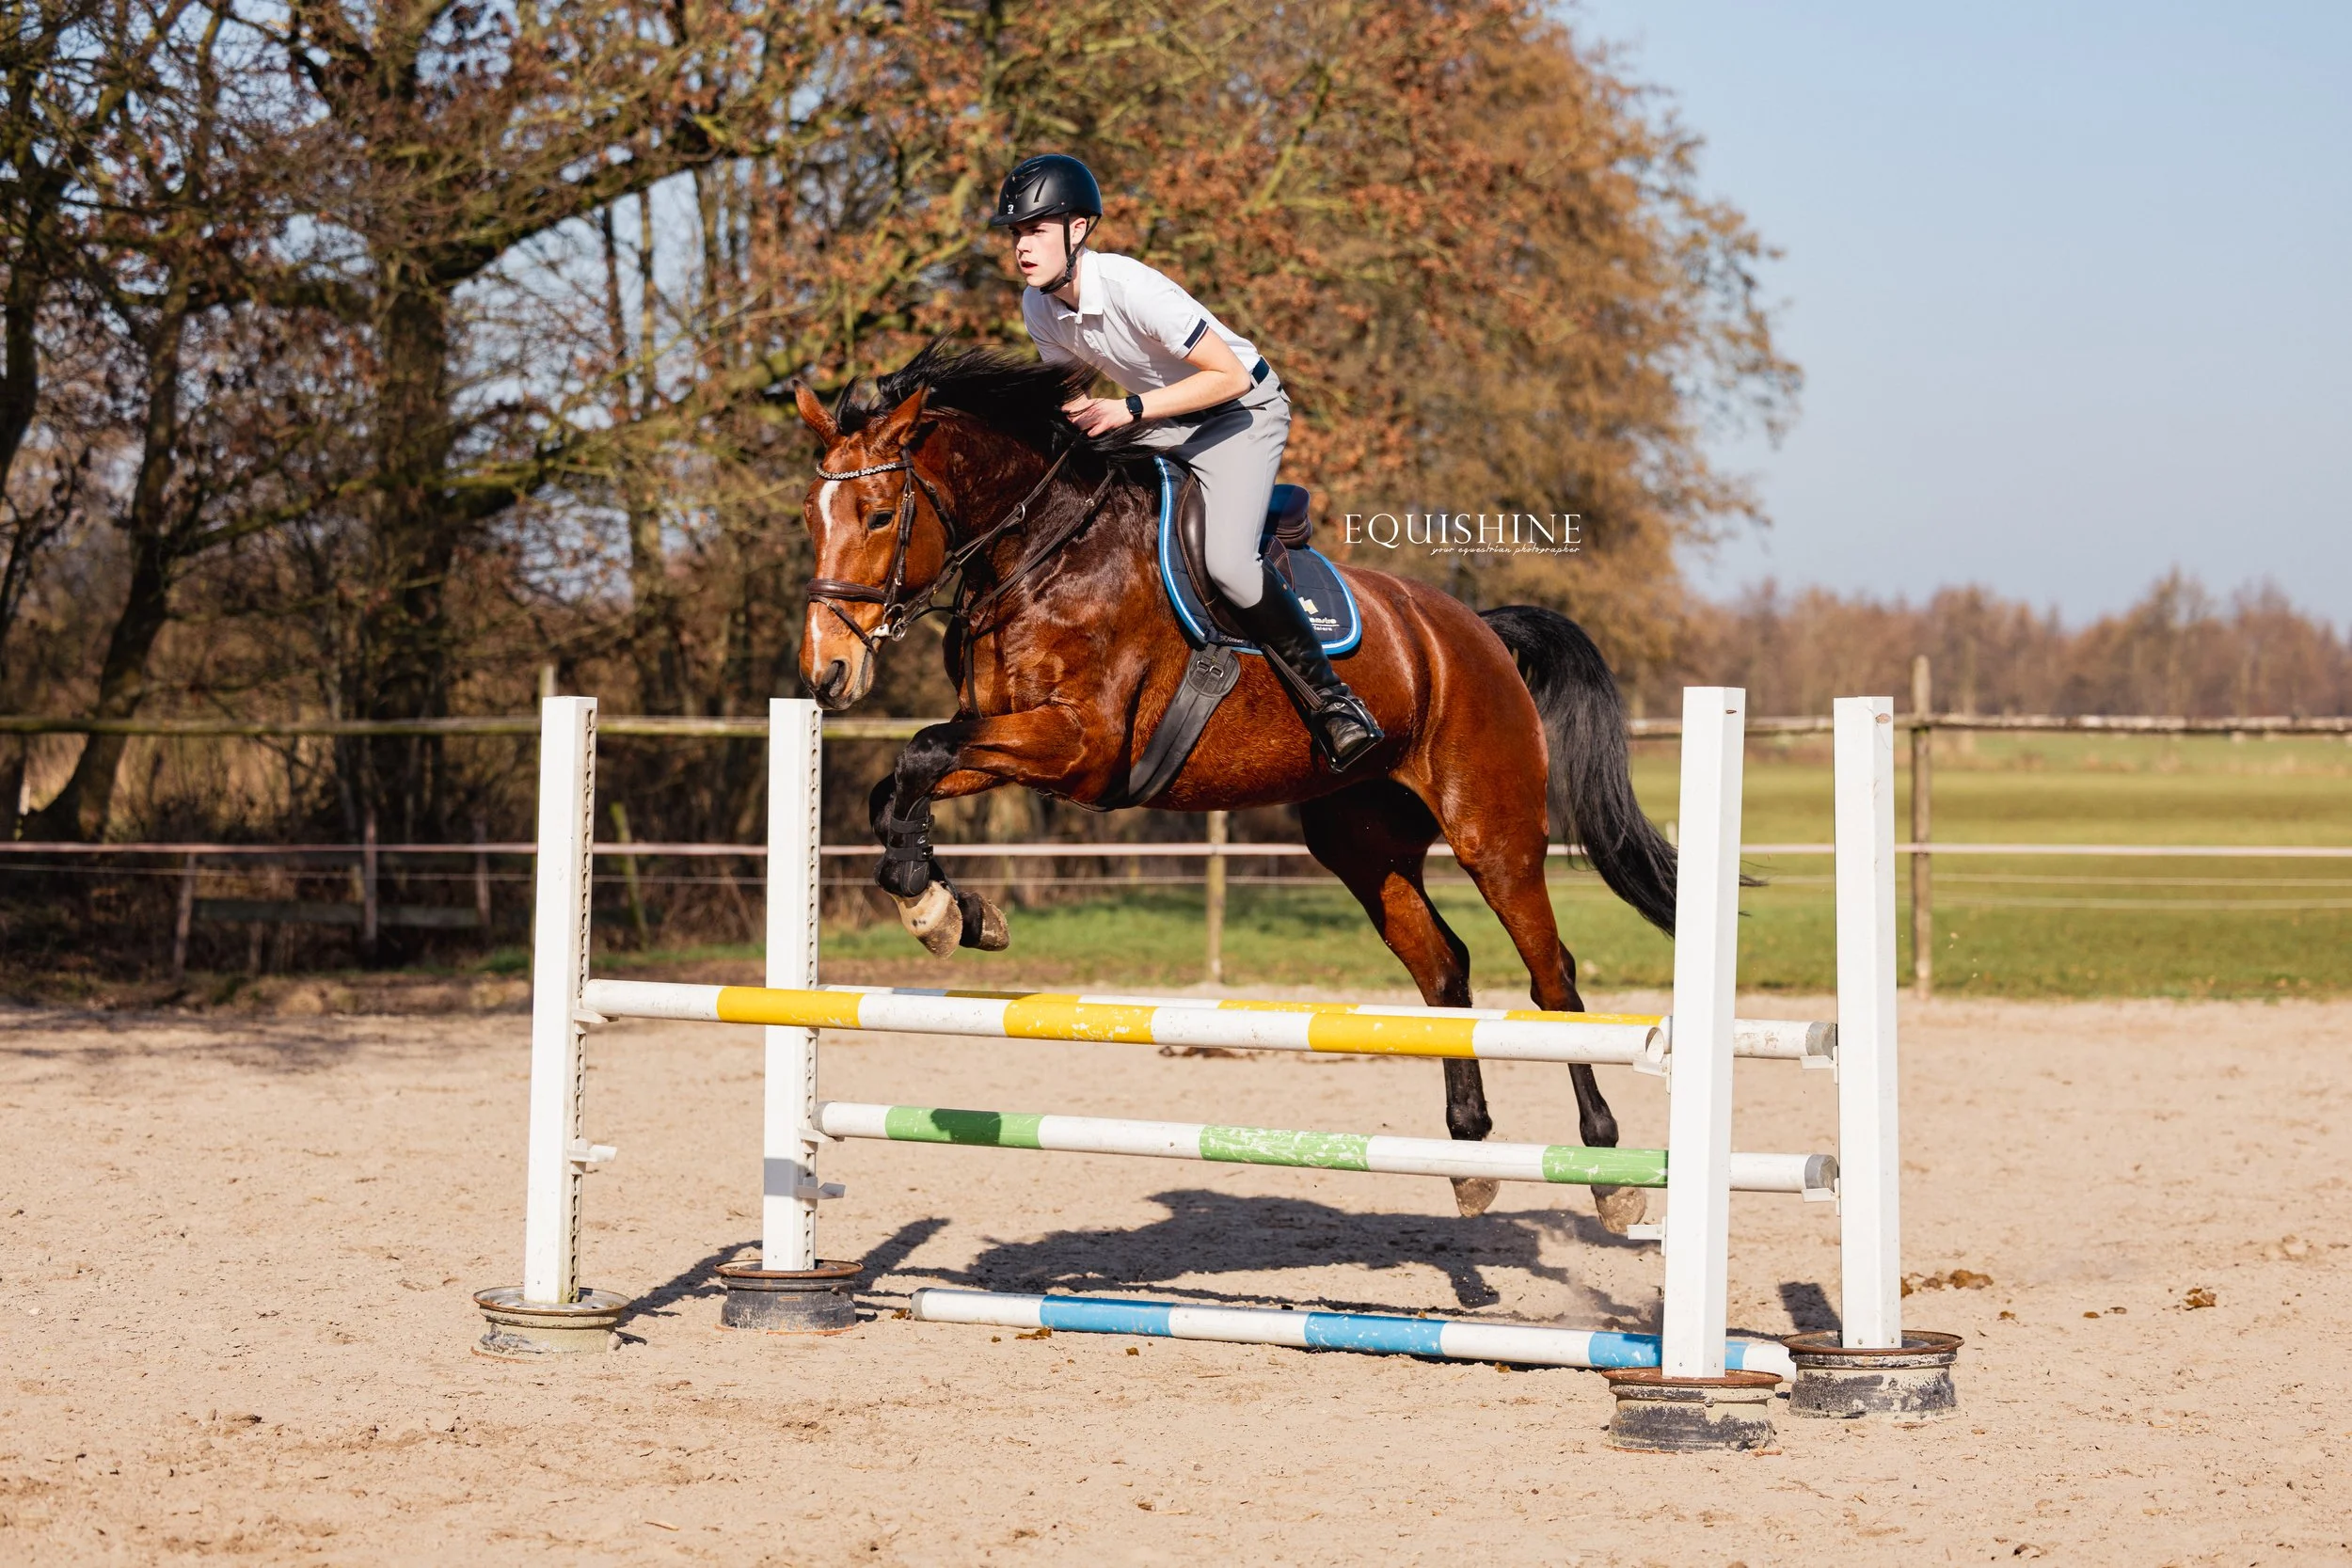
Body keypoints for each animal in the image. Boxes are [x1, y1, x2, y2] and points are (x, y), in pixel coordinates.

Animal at [793, 344, 1678, 1228]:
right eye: (810, 515)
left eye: (879, 514)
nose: (825, 673)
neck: (1042, 557)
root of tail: (1476, 631)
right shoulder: (1003, 737)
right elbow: (902, 781)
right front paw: (943, 905)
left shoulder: (1081, 746)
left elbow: (919, 754)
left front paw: (937, 906)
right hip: (1363, 844)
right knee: (1444, 967)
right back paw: (1468, 1155)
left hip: (1494, 833)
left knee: (1552, 979)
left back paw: (1608, 1171)